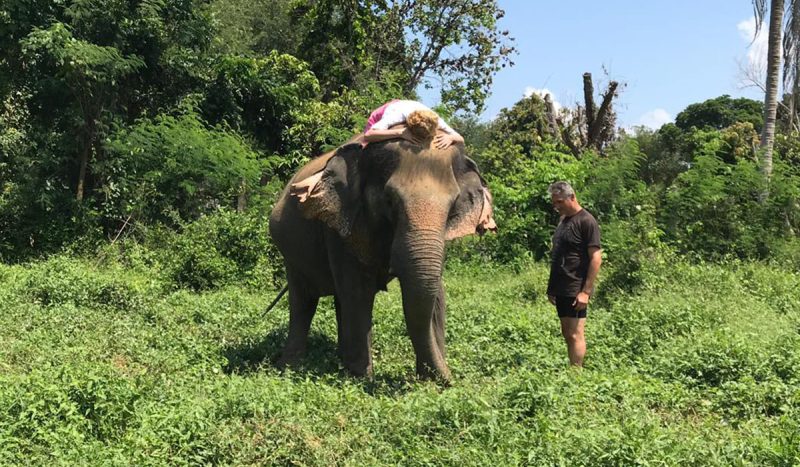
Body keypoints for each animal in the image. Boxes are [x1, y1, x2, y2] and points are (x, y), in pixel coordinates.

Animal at [268, 123, 496, 382]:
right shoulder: (339, 227)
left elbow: (435, 292)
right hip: (290, 253)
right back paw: (289, 367)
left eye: (453, 203)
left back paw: (339, 360)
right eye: (389, 200)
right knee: (304, 301)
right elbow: (358, 292)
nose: (450, 380)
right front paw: (363, 378)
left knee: (337, 299)